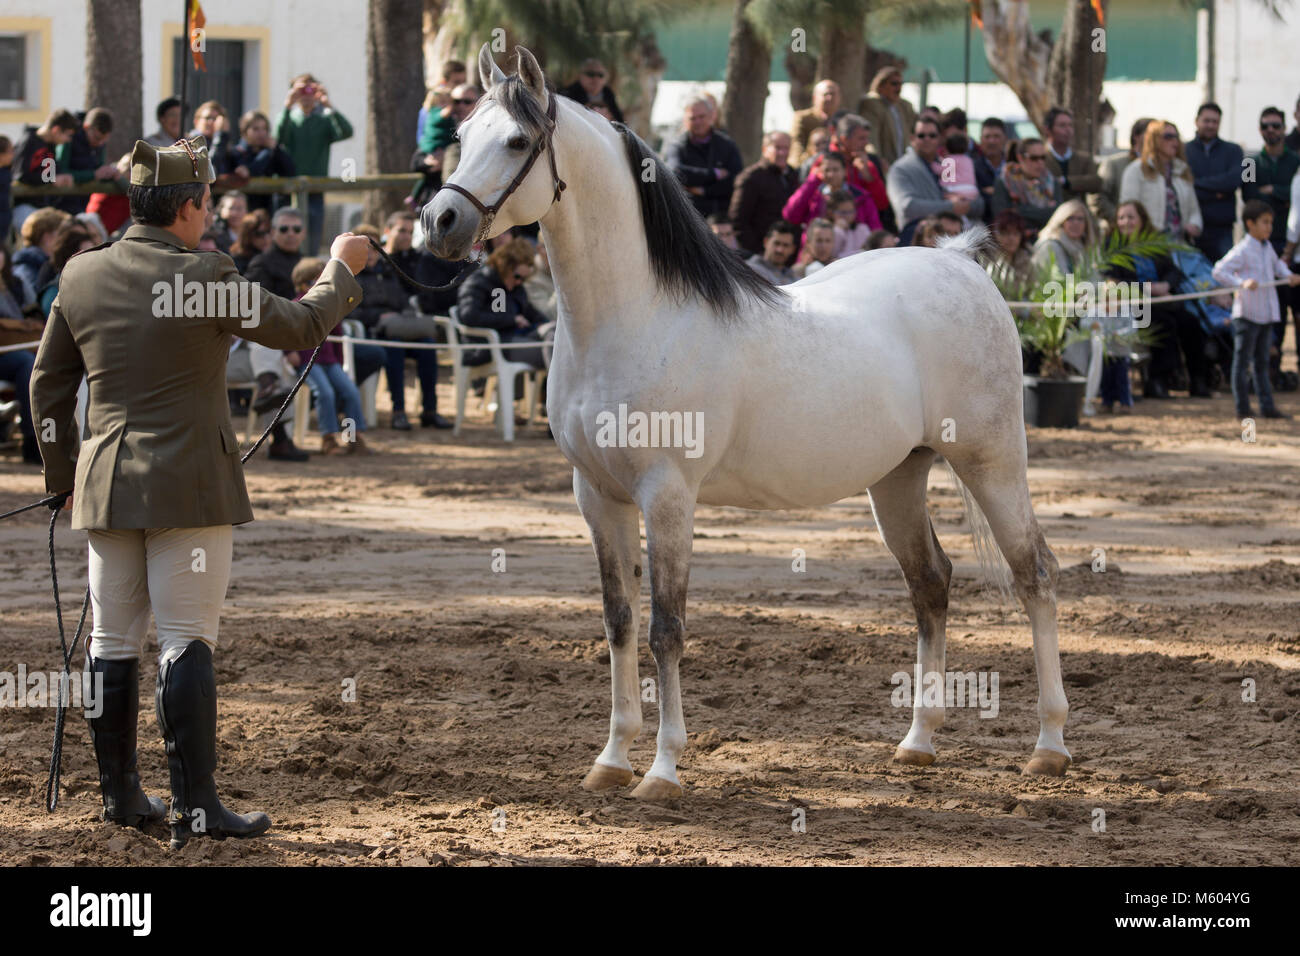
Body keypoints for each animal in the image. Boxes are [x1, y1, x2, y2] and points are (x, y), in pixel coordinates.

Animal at [426, 48, 1066, 806]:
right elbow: (619, 622)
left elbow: (667, 628)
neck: (634, 317)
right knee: (931, 582)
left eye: (517, 141)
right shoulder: (597, 496)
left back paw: (1049, 746)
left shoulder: (667, 496)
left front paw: (663, 771)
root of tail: (961, 262)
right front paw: (611, 759)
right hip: (898, 475)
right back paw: (918, 742)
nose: (439, 221)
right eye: (461, 134)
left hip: (992, 462)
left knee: (1034, 575)